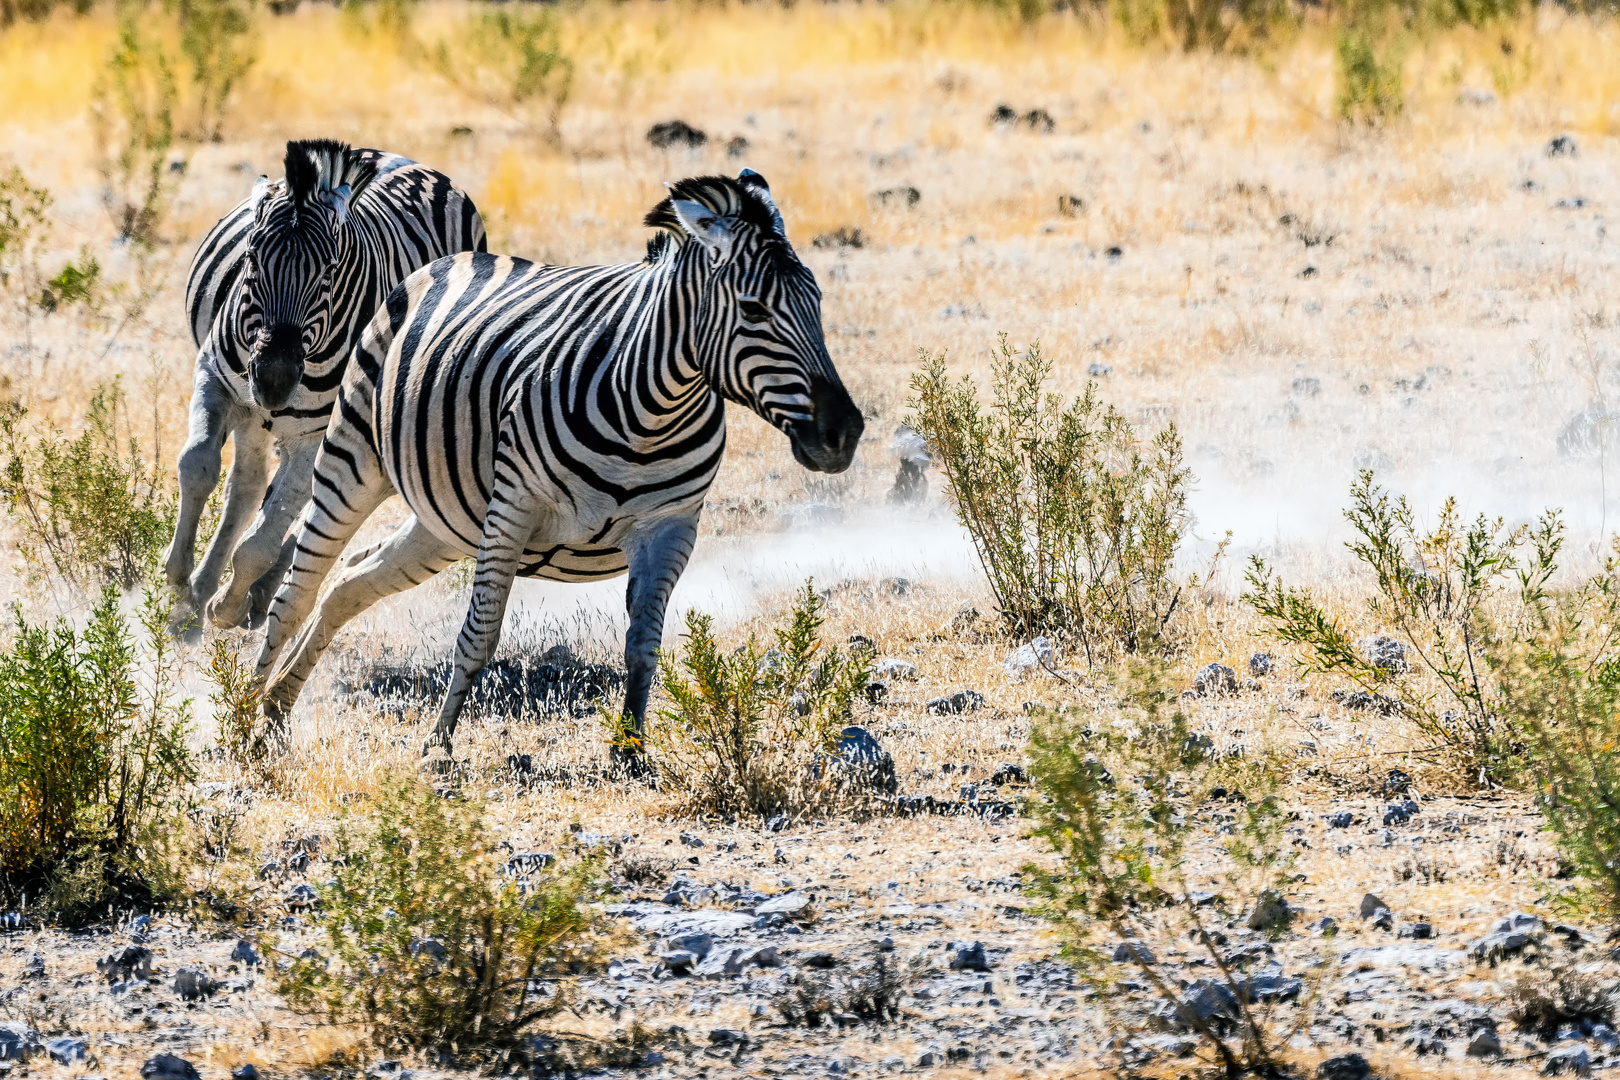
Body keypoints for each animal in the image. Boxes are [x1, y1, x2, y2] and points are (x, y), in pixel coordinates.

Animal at [169, 140, 492, 637]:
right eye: (251, 258)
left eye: (329, 272)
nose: (274, 381)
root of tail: (400, 158)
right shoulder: (216, 379)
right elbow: (197, 465)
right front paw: (180, 582)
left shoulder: (315, 435)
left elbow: (262, 540)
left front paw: (227, 605)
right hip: (256, 415)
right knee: (246, 487)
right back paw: (202, 590)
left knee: (297, 508)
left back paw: (252, 595)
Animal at [252, 169, 861, 764]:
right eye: (755, 309)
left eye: (817, 301)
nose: (845, 433)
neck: (651, 409)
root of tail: (454, 259)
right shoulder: (514, 507)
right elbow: (479, 635)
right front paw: (437, 748)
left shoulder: (670, 528)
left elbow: (644, 645)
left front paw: (629, 751)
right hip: (353, 460)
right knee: (297, 592)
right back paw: (247, 715)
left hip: (446, 522)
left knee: (349, 581)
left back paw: (276, 707)